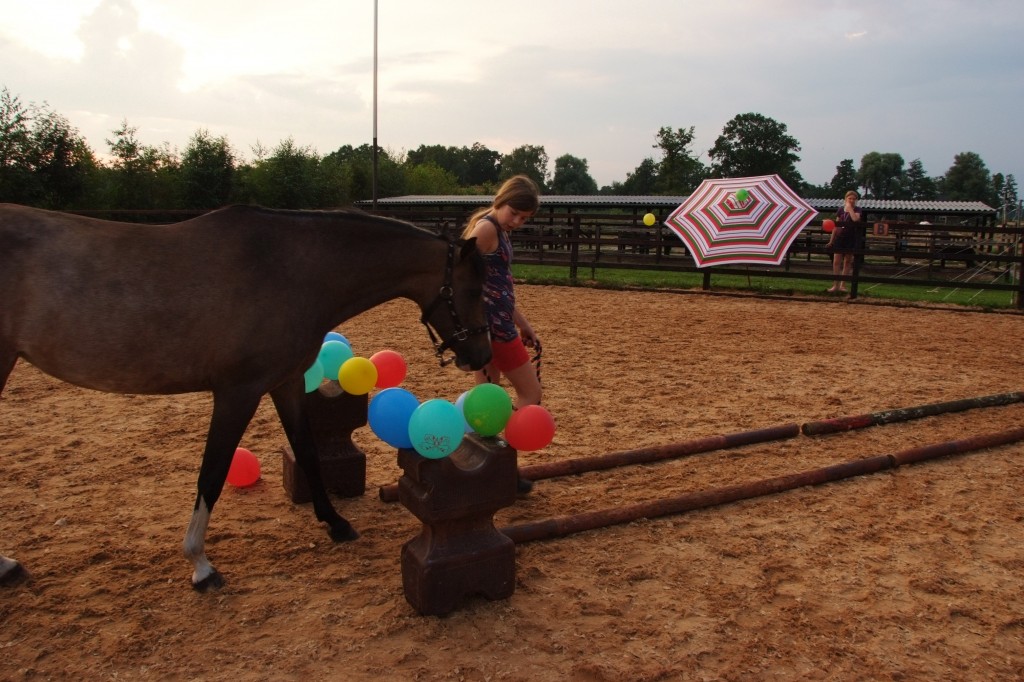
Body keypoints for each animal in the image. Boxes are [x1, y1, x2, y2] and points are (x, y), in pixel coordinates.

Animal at [0, 203, 492, 591]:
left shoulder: (286, 383)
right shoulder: (237, 393)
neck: (291, 271)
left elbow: (308, 453)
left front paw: (335, 522)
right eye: (473, 290)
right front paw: (200, 564)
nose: (482, 354)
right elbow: (212, 473)